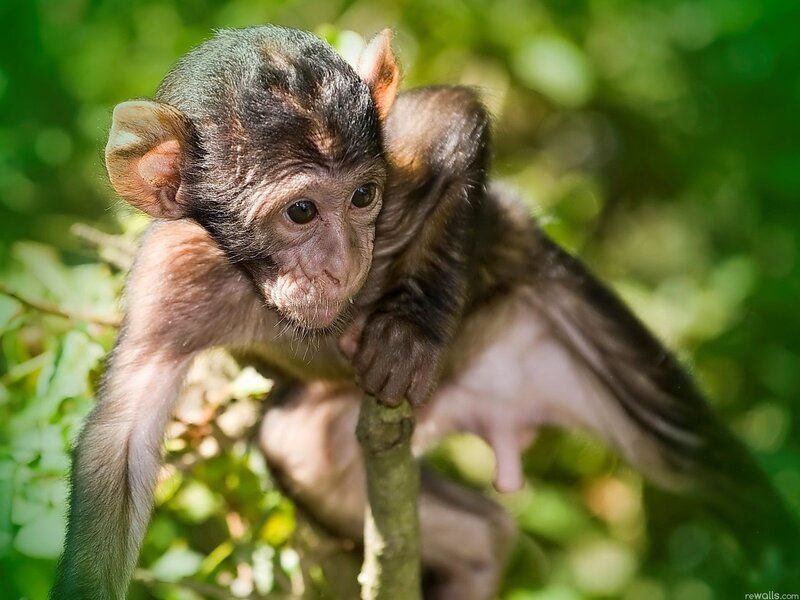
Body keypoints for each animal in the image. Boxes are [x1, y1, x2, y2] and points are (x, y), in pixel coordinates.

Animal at [51, 24, 799, 600]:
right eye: (301, 211)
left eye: (361, 197)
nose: (342, 263)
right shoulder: (170, 279)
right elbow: (118, 447)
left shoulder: (395, 167)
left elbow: (451, 114)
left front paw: (410, 328)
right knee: (317, 457)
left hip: (549, 301)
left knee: (700, 462)